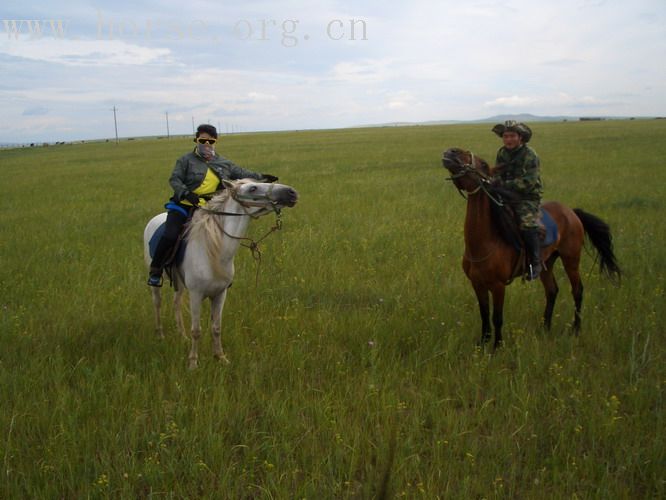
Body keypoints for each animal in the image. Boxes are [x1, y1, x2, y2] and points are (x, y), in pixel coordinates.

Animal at [143, 179, 298, 368]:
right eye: (252, 188)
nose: (291, 192)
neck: (213, 251)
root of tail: (155, 218)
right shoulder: (196, 295)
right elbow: (197, 330)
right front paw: (193, 363)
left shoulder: (220, 294)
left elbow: (216, 328)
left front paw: (220, 357)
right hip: (156, 281)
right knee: (157, 303)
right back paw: (160, 335)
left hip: (179, 283)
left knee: (176, 303)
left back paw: (182, 335)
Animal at [440, 148, 616, 350]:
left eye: (483, 164)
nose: (451, 151)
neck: (483, 242)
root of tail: (572, 212)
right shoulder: (477, 284)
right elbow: (484, 314)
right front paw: (483, 343)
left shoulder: (498, 286)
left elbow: (497, 317)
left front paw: (497, 347)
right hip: (546, 263)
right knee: (552, 290)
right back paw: (545, 327)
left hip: (571, 259)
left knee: (577, 290)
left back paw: (576, 329)